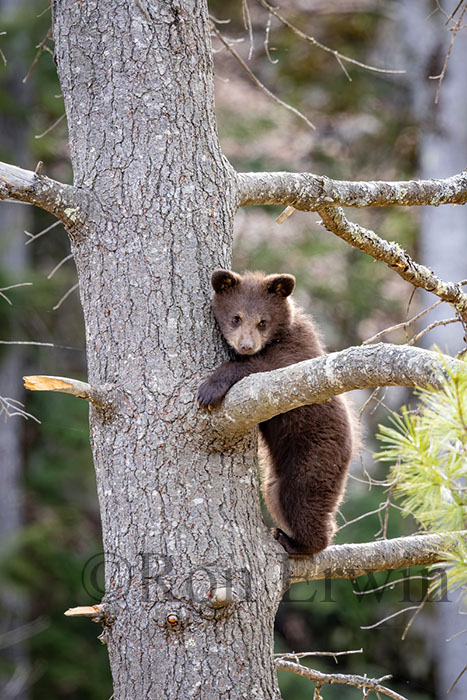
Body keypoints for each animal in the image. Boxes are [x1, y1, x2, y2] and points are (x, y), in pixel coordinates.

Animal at [197, 269, 354, 557]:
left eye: (263, 322)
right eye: (236, 317)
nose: (246, 345)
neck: (279, 336)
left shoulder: (291, 356)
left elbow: (258, 367)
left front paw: (209, 390)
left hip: (315, 454)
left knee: (300, 496)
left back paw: (296, 541)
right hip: (277, 473)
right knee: (274, 494)